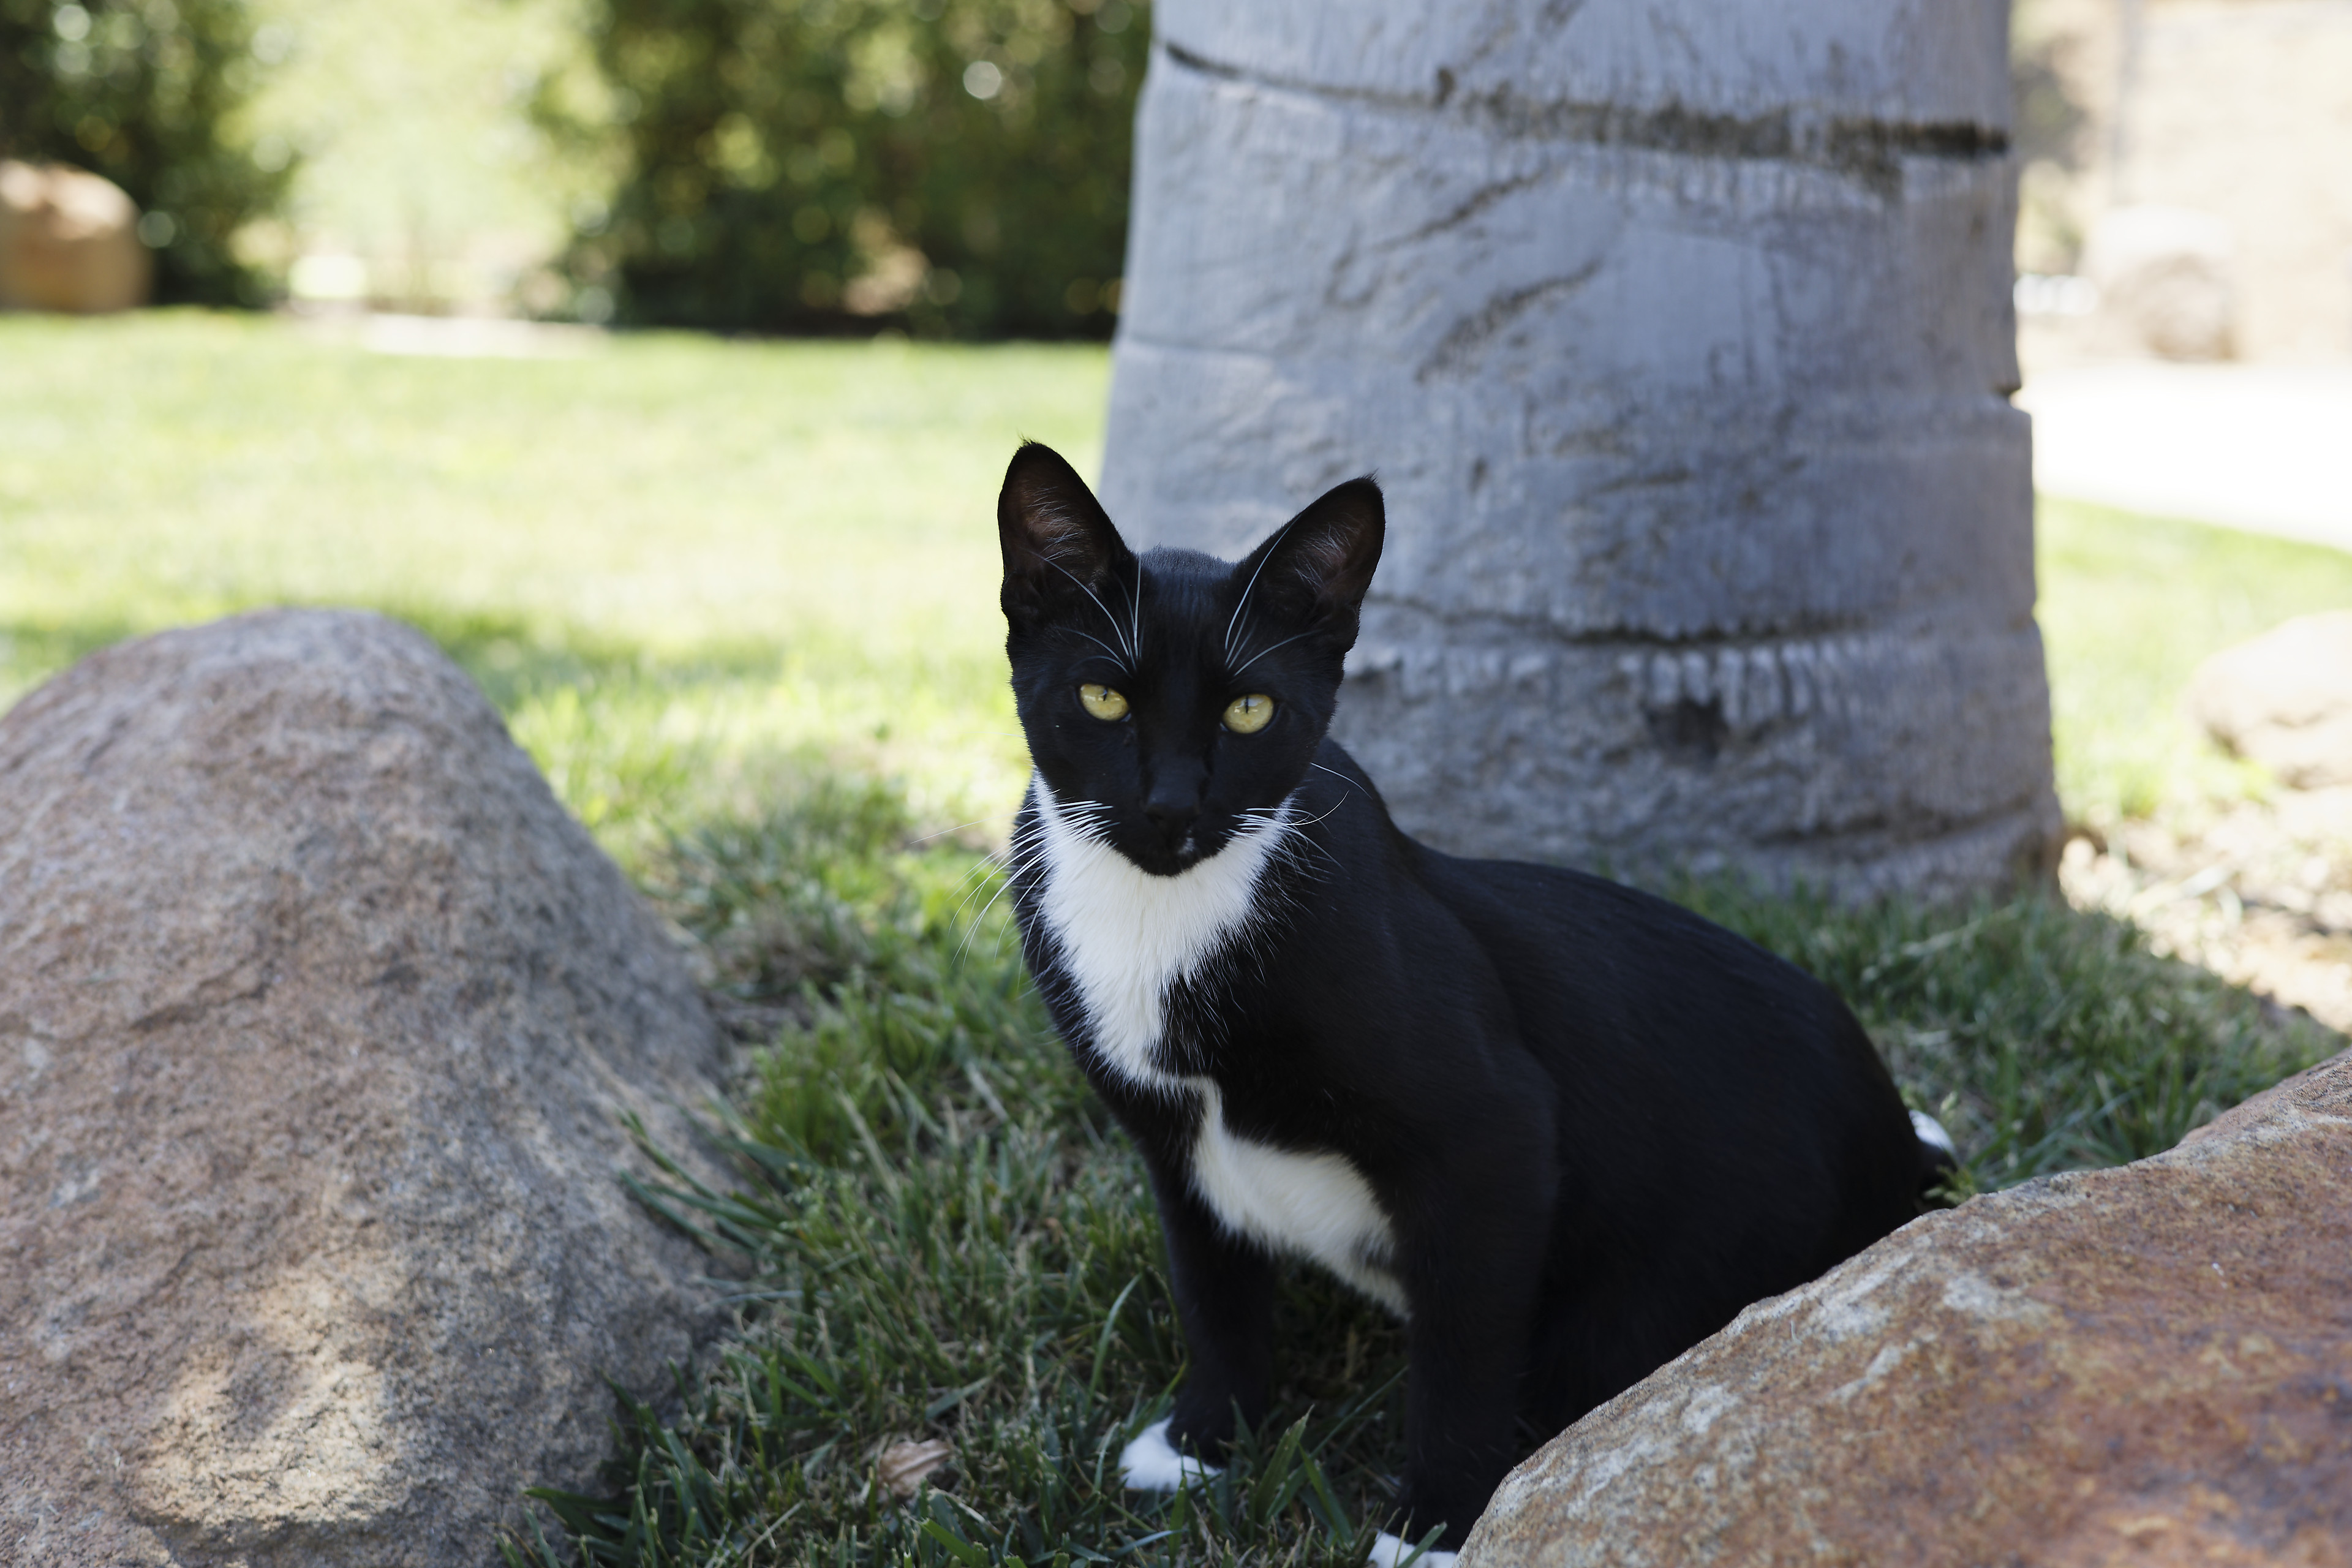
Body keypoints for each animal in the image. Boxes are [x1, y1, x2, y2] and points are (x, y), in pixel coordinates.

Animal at [995, 442, 1953, 1564]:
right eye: (1104, 700)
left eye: (1250, 711)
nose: (1171, 808)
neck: (1166, 918)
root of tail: (1897, 1142)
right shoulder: (1176, 1146)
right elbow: (1212, 1292)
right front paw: (1202, 1446)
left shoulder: (1492, 1138)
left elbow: (1464, 1347)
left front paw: (1437, 1527)